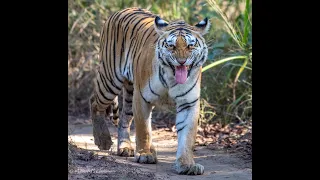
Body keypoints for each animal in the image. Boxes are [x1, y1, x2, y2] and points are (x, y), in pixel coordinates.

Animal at [90, 7, 210, 175]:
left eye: (190, 46)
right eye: (171, 46)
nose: (181, 61)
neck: (172, 78)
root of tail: (122, 10)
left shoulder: (188, 103)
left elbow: (187, 135)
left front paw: (187, 164)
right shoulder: (141, 98)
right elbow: (143, 129)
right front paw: (145, 155)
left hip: (129, 92)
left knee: (124, 118)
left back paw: (125, 147)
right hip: (110, 80)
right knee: (94, 103)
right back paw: (103, 139)